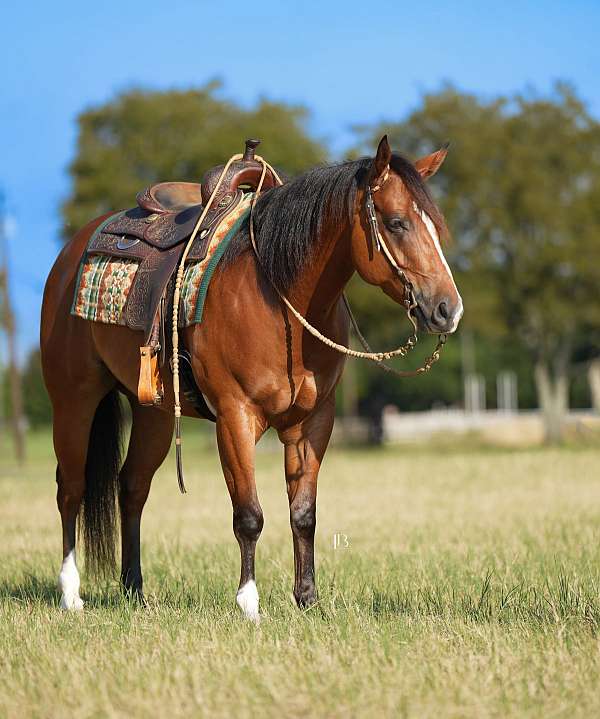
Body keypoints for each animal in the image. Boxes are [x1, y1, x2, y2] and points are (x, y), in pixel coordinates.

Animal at [41, 135, 463, 619]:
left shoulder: (312, 423)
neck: (281, 302)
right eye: (396, 223)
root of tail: (73, 251)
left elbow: (304, 513)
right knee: (71, 489)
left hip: (155, 414)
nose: (447, 309)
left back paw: (135, 590)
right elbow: (249, 514)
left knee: (132, 487)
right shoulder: (235, 418)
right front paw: (249, 602)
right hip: (73, 400)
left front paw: (307, 599)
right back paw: (71, 593)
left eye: (436, 227)